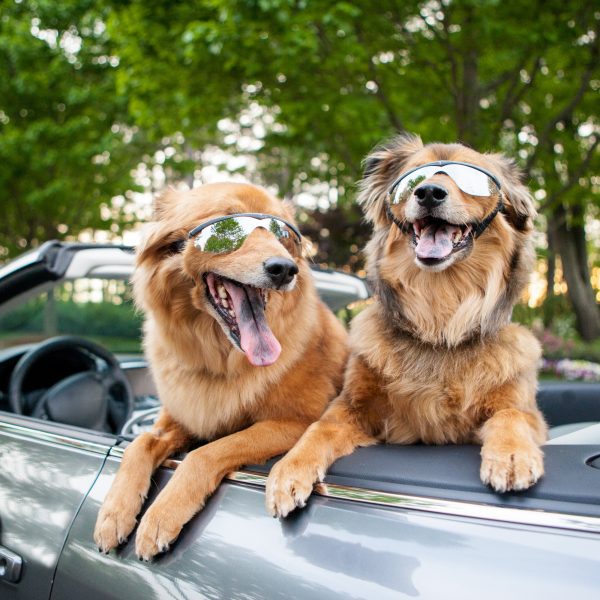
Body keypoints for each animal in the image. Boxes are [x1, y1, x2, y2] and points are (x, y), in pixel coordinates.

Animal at [93, 182, 346, 556]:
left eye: (284, 236)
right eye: (226, 226)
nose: (285, 269)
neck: (218, 358)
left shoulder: (294, 422)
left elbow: (205, 453)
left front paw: (161, 515)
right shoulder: (184, 417)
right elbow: (139, 443)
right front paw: (113, 513)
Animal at [268, 134, 548, 516]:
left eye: (470, 177)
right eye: (413, 177)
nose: (428, 192)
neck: (439, 327)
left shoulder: (525, 410)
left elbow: (511, 415)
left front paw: (512, 456)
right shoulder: (352, 408)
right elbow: (318, 428)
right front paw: (289, 470)